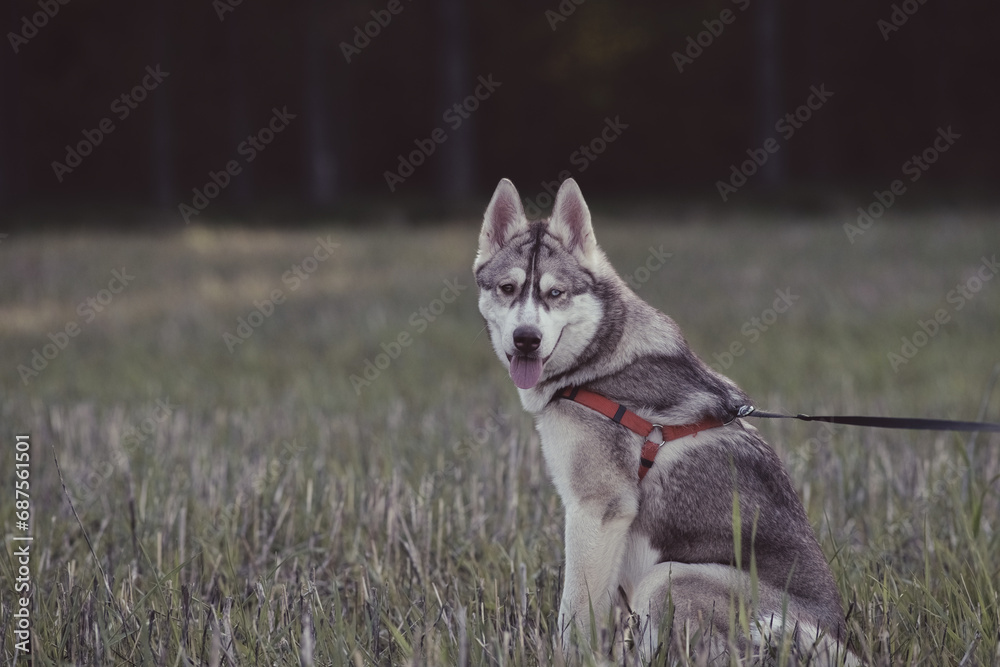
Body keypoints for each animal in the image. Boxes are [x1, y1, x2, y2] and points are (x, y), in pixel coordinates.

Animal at [472, 177, 856, 664]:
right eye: (507, 288)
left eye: (555, 294)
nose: (526, 339)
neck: (596, 362)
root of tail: (833, 639)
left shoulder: (597, 509)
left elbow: (573, 613)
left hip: (669, 575)